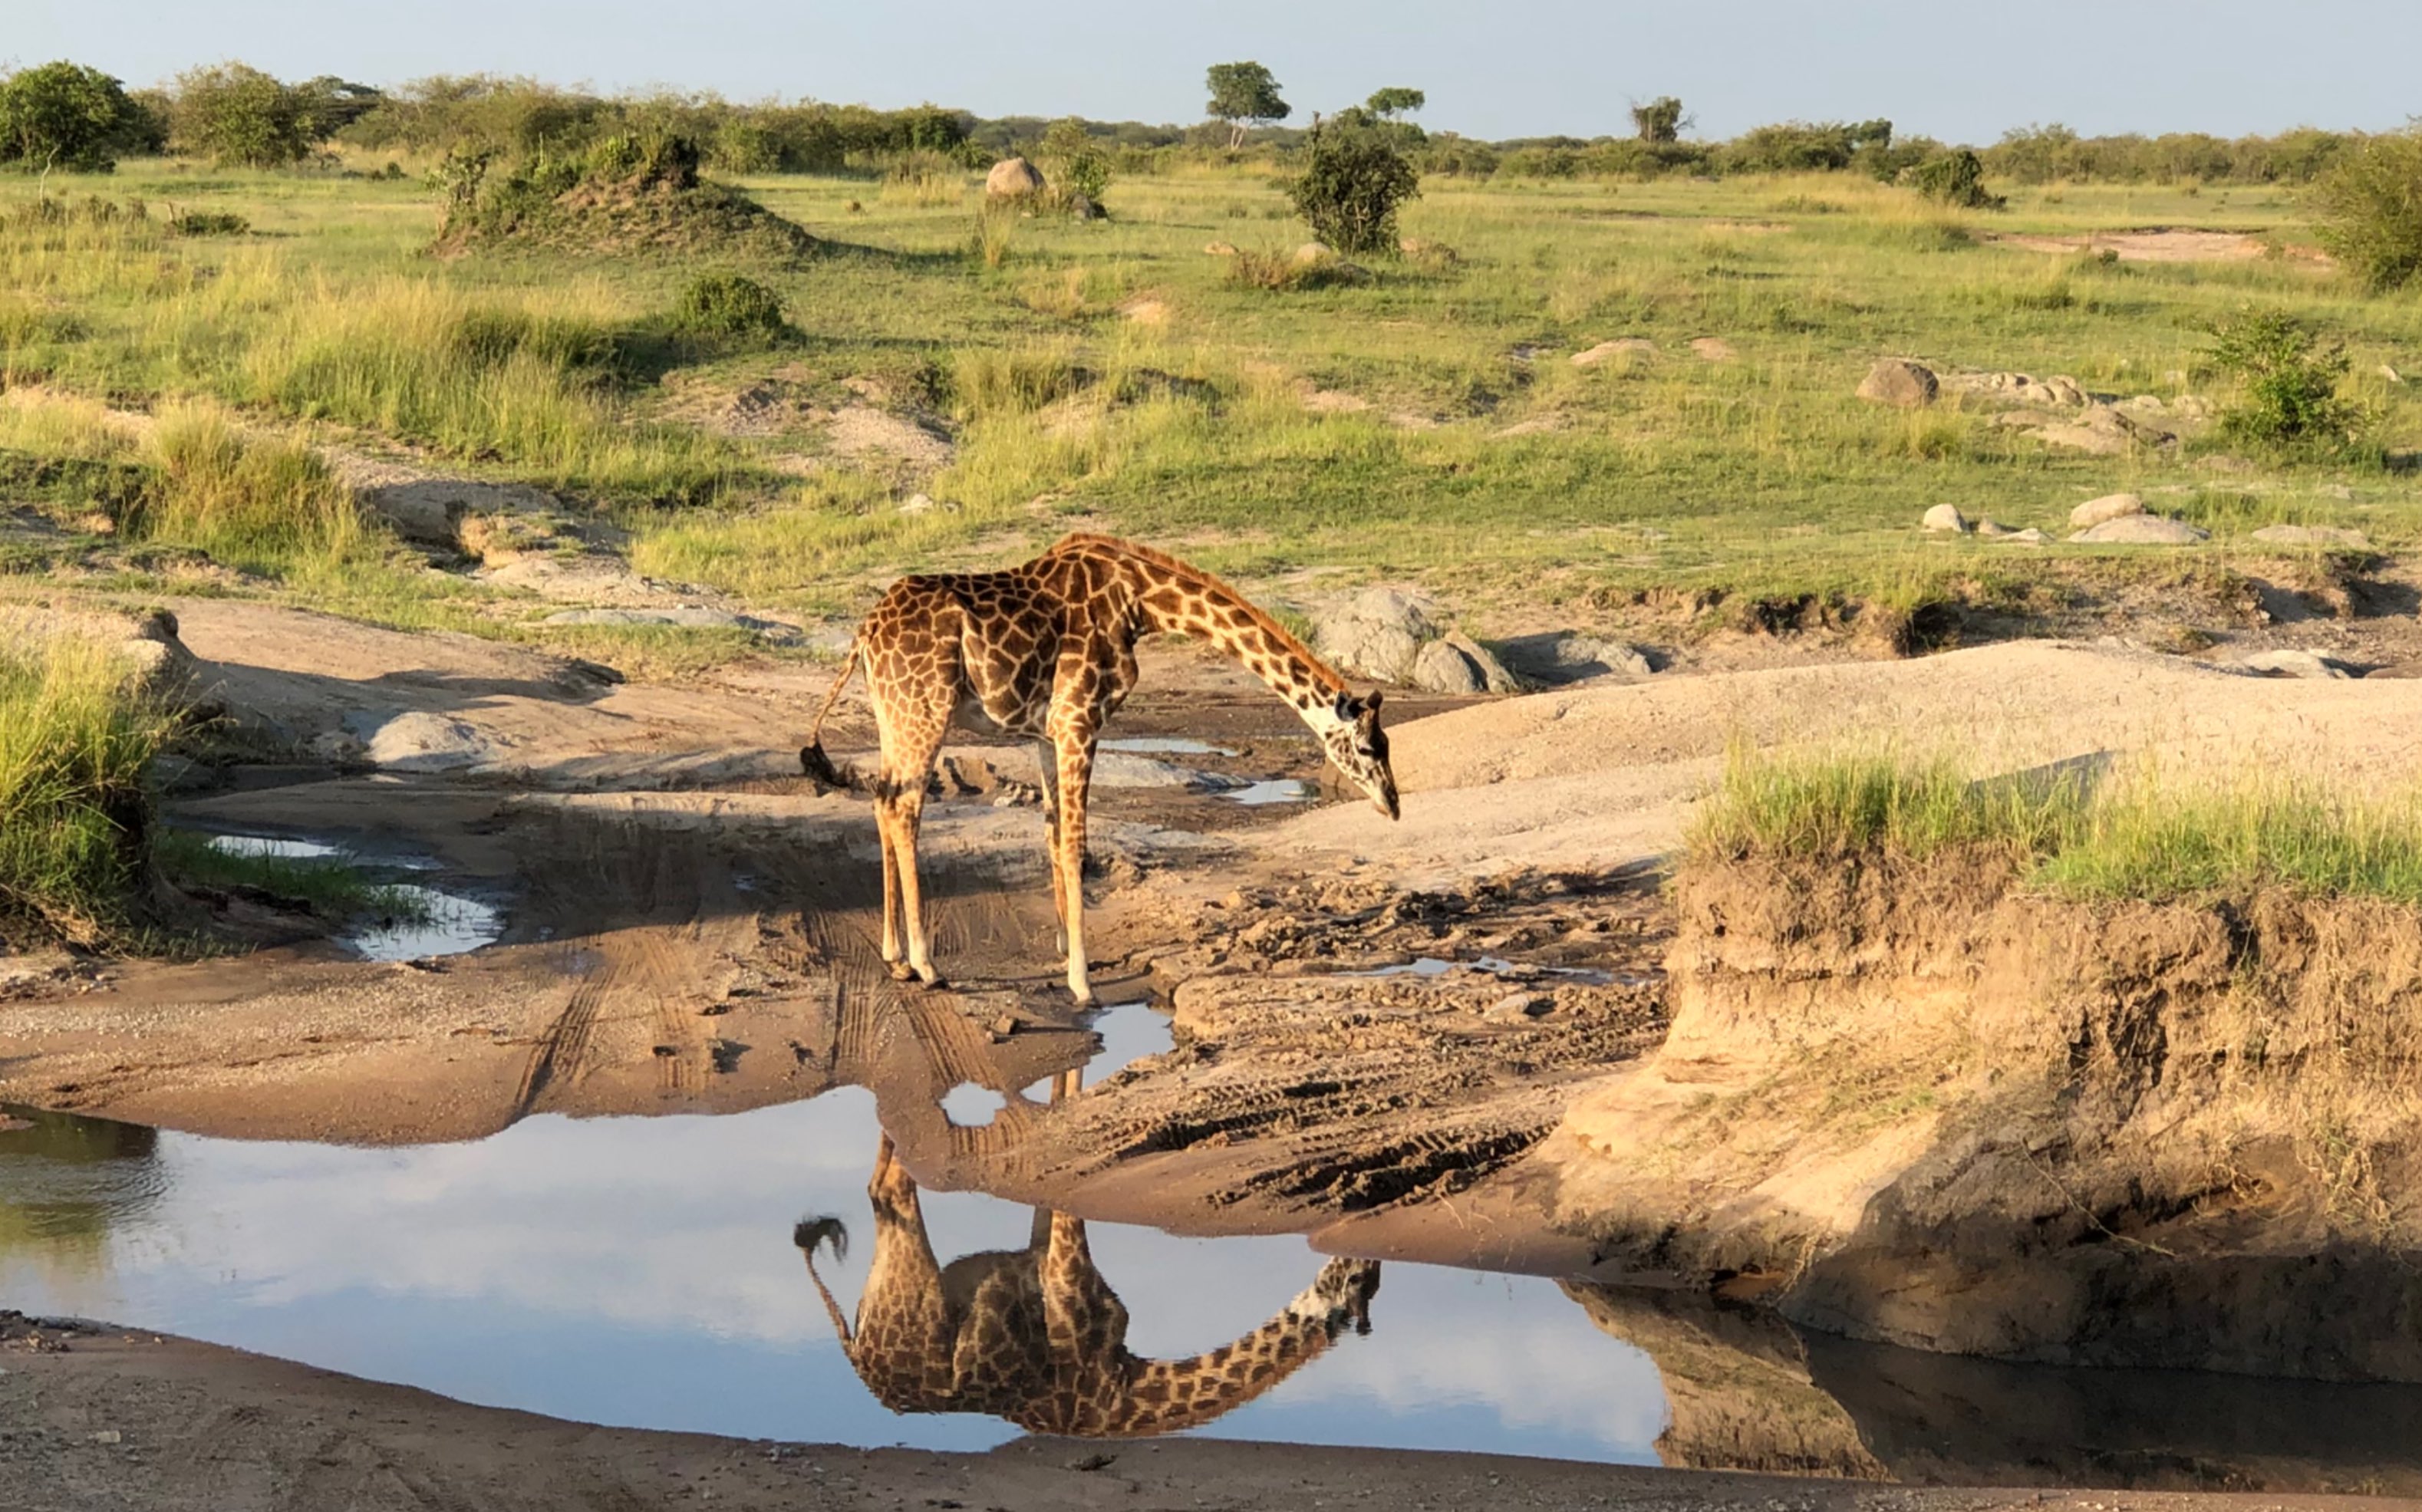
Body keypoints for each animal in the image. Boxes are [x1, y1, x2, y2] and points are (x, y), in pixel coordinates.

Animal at [794, 1134, 1385, 1444]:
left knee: (880, 1182)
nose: (1359, 1249)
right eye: (1363, 1278)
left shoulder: (1042, 1252)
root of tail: (861, 1359)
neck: (1124, 1386)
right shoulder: (1063, 1272)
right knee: (890, 1186)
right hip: (913, 1277)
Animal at [799, 530, 1405, 1003]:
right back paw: (927, 965)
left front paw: (1065, 945)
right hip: (926, 711)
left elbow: (1051, 832)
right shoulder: (1079, 718)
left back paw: (895, 956)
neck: (1142, 603)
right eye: (1371, 748)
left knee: (882, 801)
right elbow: (1077, 842)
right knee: (904, 808)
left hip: (893, 716)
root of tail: (864, 634)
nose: (1394, 805)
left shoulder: (1047, 731)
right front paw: (1082, 982)